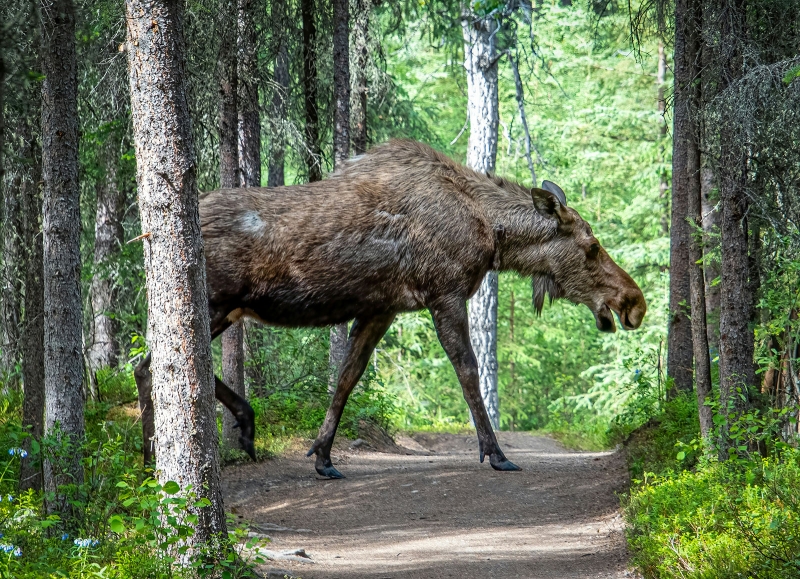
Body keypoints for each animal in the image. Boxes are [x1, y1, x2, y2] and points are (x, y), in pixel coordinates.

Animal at [133, 138, 644, 478]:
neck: (491, 234)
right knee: (154, 367)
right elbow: (468, 374)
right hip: (215, 304)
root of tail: (145, 234)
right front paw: (496, 453)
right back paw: (163, 455)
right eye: (592, 246)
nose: (634, 303)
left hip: (225, 309)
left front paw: (323, 456)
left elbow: (346, 379)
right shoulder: (444, 293)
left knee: (147, 366)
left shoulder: (383, 309)